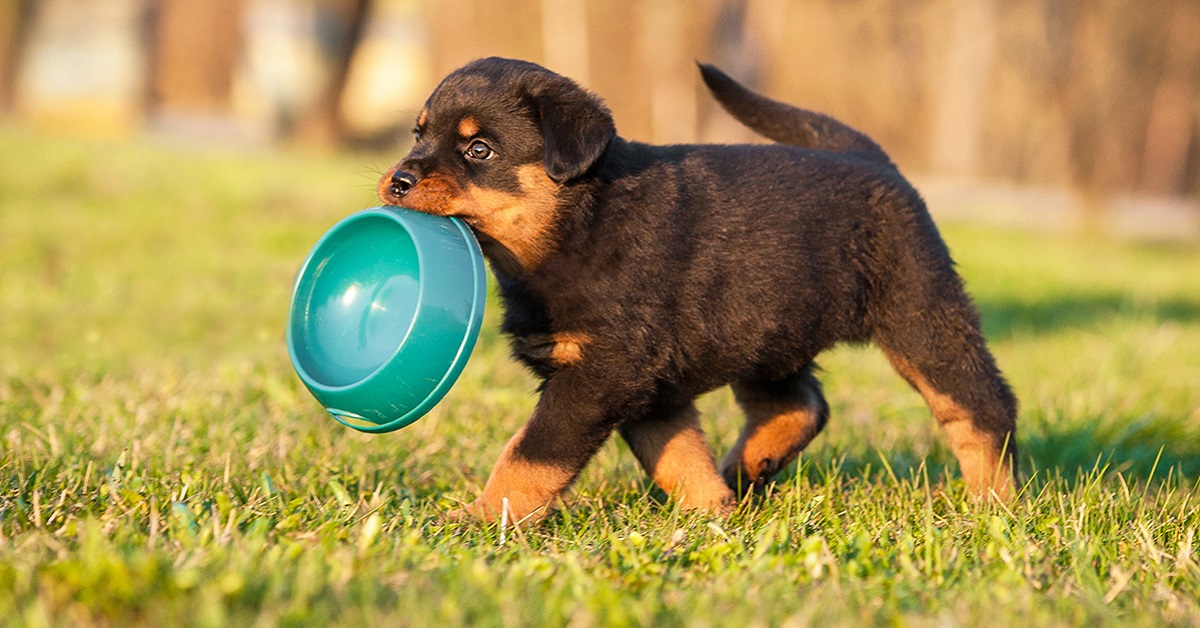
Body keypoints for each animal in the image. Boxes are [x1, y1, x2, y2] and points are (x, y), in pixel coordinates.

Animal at [379, 57, 1017, 521]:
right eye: (418, 134)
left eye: (478, 149)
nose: (398, 180)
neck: (579, 222)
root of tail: (874, 158)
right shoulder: (648, 384)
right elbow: (678, 455)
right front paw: (711, 513)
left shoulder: (603, 371)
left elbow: (531, 453)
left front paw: (479, 517)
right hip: (769, 329)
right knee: (799, 405)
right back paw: (745, 470)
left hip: (920, 313)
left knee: (981, 406)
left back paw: (994, 503)